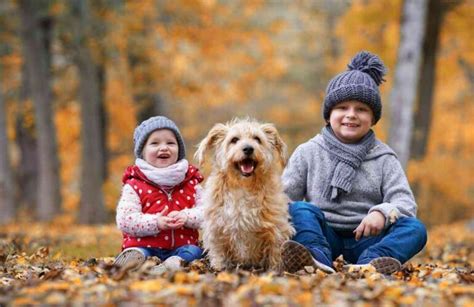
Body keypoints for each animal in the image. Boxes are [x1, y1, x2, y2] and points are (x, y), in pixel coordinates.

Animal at [194, 118, 294, 272]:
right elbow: (218, 252)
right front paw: (219, 268)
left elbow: (275, 251)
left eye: (257, 139)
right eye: (234, 140)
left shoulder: (277, 227)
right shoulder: (215, 227)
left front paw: (275, 269)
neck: (243, 186)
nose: (248, 149)